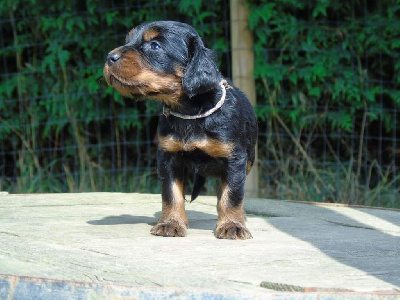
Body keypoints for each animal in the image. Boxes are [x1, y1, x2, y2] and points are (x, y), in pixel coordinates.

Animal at [103, 20, 258, 239]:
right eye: (128, 40)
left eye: (155, 46)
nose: (110, 57)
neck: (190, 114)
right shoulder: (168, 157)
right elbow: (171, 194)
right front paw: (170, 223)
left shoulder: (235, 159)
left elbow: (232, 195)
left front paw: (232, 225)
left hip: (249, 159)